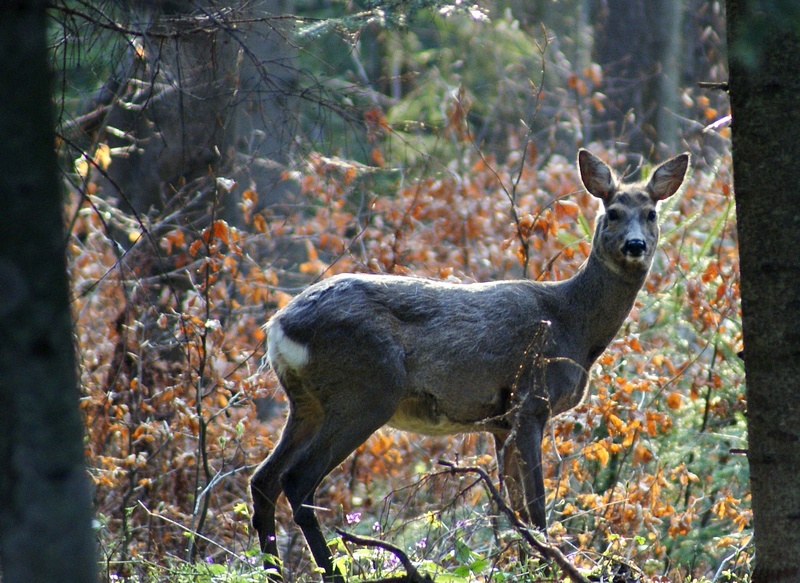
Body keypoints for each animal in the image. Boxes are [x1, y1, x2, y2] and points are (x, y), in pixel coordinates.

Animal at [250, 149, 688, 580]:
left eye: (651, 213)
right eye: (612, 212)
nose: (635, 245)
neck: (574, 325)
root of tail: (278, 325)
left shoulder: (500, 422)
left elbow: (516, 510)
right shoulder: (530, 400)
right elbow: (535, 508)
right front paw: (550, 567)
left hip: (306, 403)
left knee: (263, 479)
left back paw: (273, 569)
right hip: (366, 391)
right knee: (297, 481)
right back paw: (329, 570)